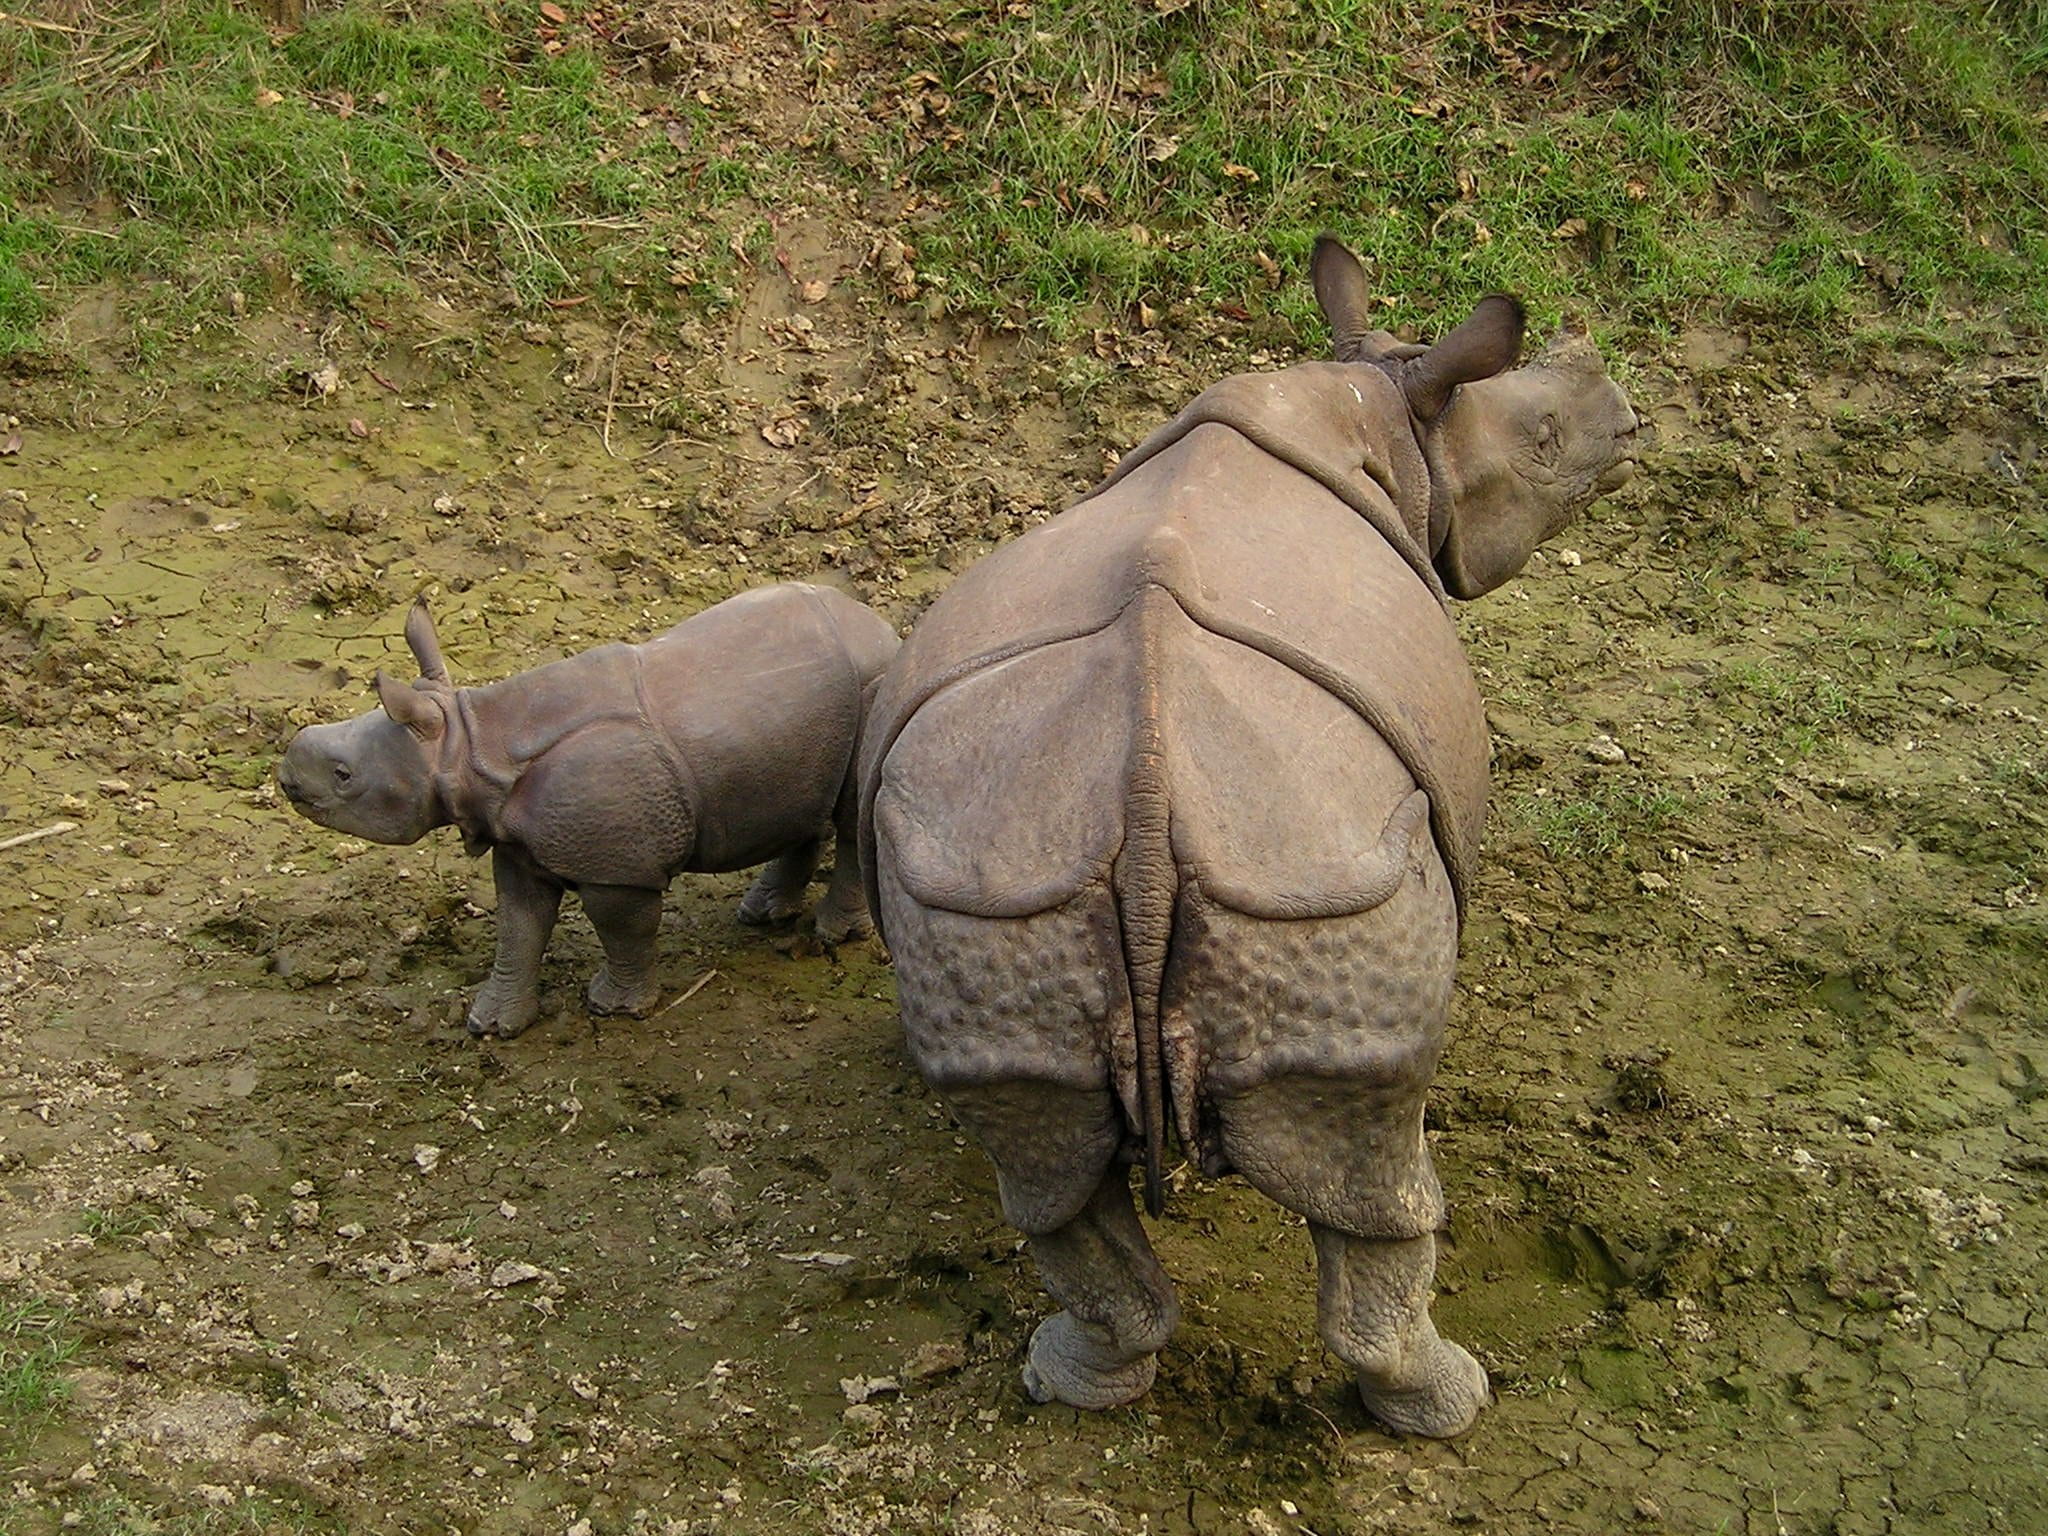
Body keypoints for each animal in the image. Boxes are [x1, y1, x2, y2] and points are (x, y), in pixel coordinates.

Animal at [278, 582, 899, 1038]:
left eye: (344, 776)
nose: (285, 777)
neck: (467, 744)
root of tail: (880, 625)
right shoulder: (517, 844)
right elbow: (519, 925)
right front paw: (491, 1025)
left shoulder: (618, 868)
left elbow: (620, 926)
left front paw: (615, 1009)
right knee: (801, 799)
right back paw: (761, 915)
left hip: (873, 682)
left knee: (851, 813)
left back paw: (830, 937)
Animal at [857, 240, 1639, 1436]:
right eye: (1542, 439)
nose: (1631, 421)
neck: (1384, 404)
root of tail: (1140, 809)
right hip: (1319, 883)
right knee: (1378, 1179)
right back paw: (1448, 1406)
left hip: (997, 892)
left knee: (1047, 1174)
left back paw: (1069, 1378)